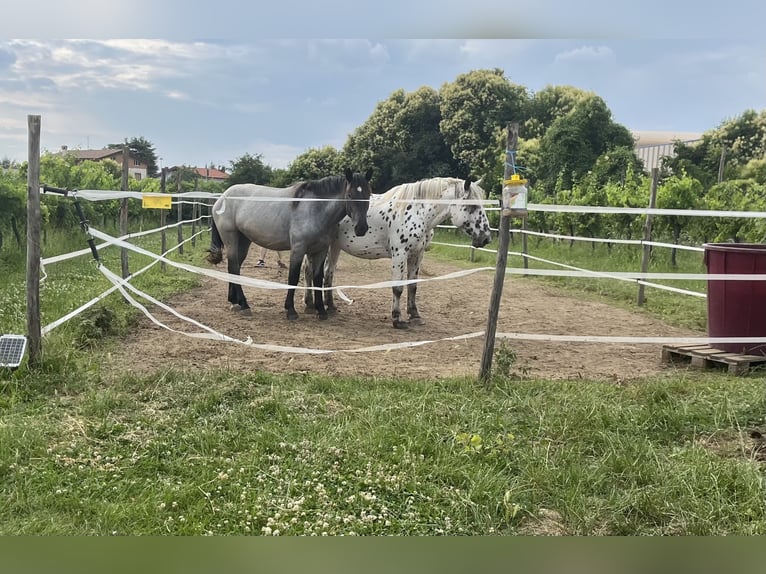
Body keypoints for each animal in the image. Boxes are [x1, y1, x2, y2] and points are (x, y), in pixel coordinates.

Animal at [207, 170, 376, 324]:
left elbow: (318, 278)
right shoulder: (298, 249)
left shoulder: (321, 251)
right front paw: (291, 311)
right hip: (231, 239)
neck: (316, 208)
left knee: (234, 267)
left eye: (368, 194)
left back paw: (235, 302)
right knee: (234, 267)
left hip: (243, 241)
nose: (361, 228)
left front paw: (321, 311)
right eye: (349, 195)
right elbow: (293, 277)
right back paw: (244, 305)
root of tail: (222, 198)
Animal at [304, 177, 492, 328]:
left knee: (328, 272)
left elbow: (413, 286)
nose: (486, 238)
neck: (417, 211)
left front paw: (415, 315)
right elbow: (398, 288)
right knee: (310, 271)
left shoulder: (417, 255)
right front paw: (397, 319)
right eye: (471, 207)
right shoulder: (400, 254)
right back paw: (310, 306)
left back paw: (330, 307)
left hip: (334, 246)